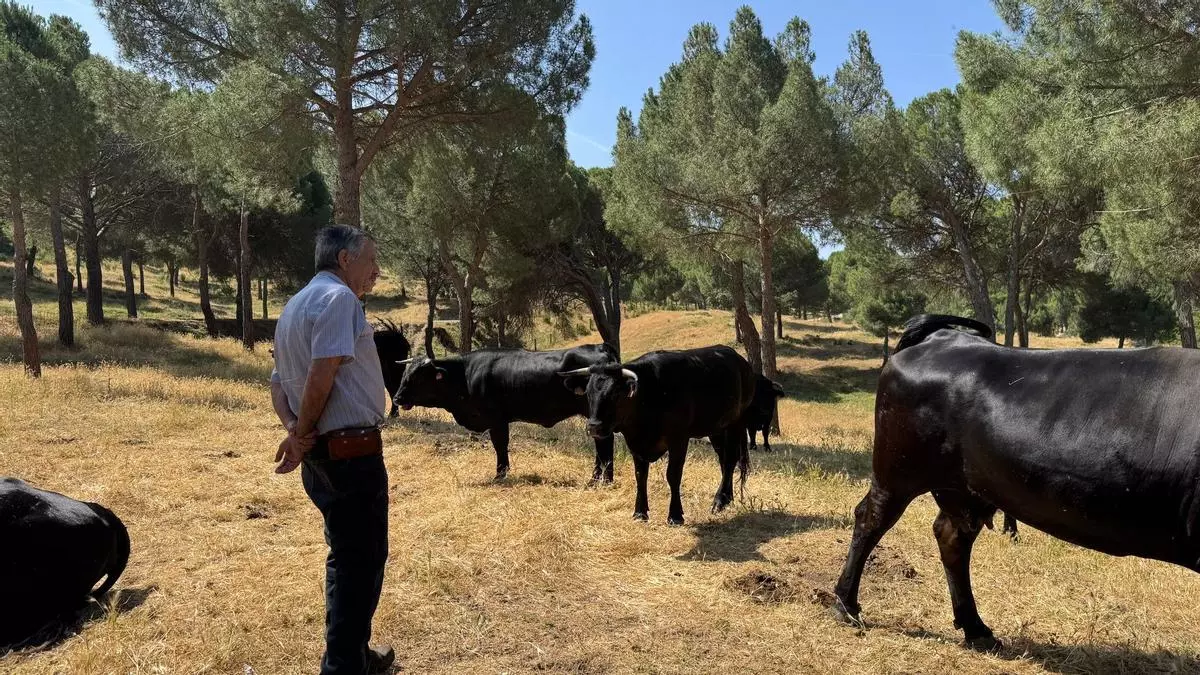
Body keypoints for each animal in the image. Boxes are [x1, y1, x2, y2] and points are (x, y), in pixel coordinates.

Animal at [393, 344, 620, 482]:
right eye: (405, 374)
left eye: (419, 377)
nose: (397, 398)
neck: (465, 374)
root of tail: (599, 347)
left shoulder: (497, 420)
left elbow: (500, 446)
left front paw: (500, 474)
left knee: (604, 443)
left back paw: (599, 479)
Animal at [558, 345, 756, 525]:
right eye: (589, 393)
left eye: (616, 394)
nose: (594, 427)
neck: (651, 394)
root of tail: (741, 361)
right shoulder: (635, 443)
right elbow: (640, 476)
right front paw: (640, 512)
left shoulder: (679, 440)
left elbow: (673, 475)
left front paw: (675, 515)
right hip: (716, 428)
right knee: (723, 460)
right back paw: (727, 498)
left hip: (736, 423)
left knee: (730, 460)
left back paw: (719, 501)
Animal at [830, 314, 1200, 651]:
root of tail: (943, 336)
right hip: (897, 470)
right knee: (870, 519)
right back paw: (847, 605)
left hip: (965, 486)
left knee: (951, 536)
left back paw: (976, 629)